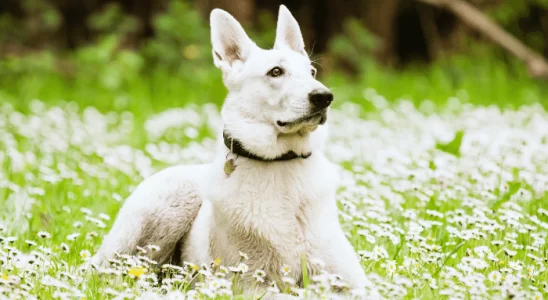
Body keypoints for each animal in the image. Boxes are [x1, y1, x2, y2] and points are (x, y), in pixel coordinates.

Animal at [92, 4, 368, 298]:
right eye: (276, 72)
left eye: (312, 72)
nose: (324, 97)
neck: (281, 163)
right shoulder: (248, 284)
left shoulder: (353, 281)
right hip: (169, 204)